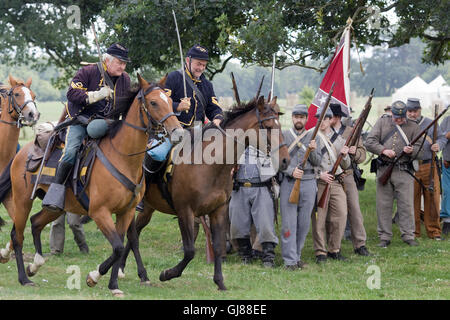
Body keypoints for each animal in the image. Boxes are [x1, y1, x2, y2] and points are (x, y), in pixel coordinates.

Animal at [0, 75, 183, 298]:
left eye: (169, 100)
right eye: (154, 102)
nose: (178, 132)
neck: (123, 158)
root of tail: (21, 152)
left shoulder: (127, 212)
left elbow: (121, 245)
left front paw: (114, 285)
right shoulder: (99, 212)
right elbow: (118, 247)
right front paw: (94, 277)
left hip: (56, 206)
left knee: (35, 223)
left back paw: (35, 265)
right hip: (22, 202)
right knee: (17, 236)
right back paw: (24, 278)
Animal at [118, 95, 290, 290]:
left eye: (279, 125)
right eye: (267, 126)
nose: (285, 160)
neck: (210, 165)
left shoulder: (218, 210)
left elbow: (218, 246)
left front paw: (220, 282)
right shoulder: (185, 211)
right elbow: (189, 251)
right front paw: (167, 274)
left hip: (148, 208)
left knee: (135, 233)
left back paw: (132, 271)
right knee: (132, 234)